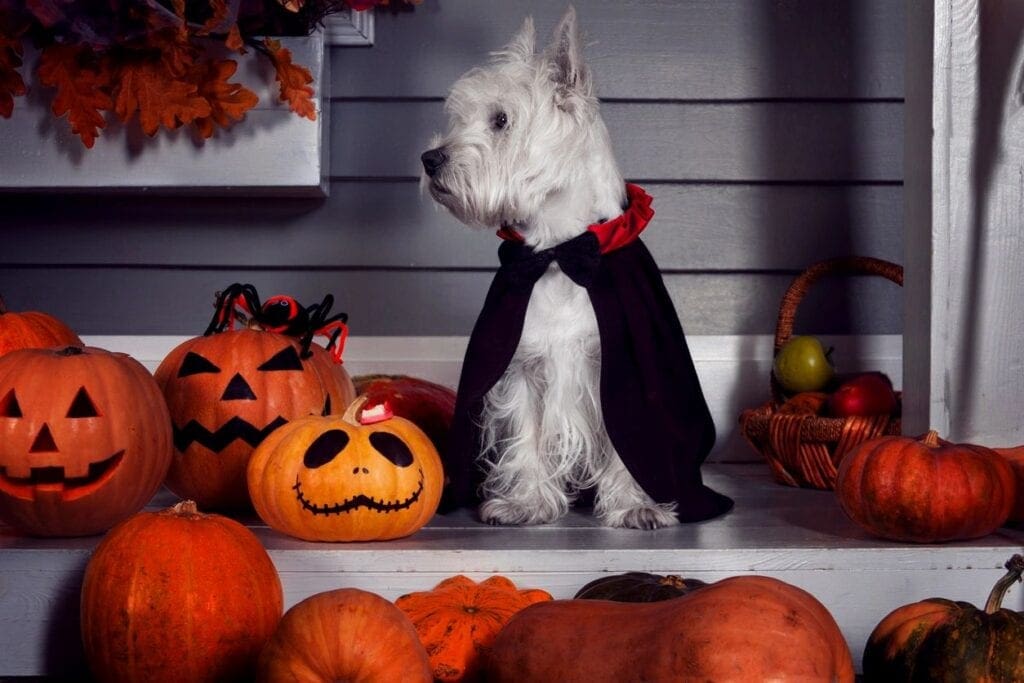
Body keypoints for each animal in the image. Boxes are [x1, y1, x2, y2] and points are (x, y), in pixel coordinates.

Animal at [419, 6, 733, 528]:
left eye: (501, 120)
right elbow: (525, 438)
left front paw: (635, 506)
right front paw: (524, 502)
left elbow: (630, 443)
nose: (429, 159)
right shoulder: (523, 368)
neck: (559, 252)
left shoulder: (621, 370)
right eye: (460, 117)